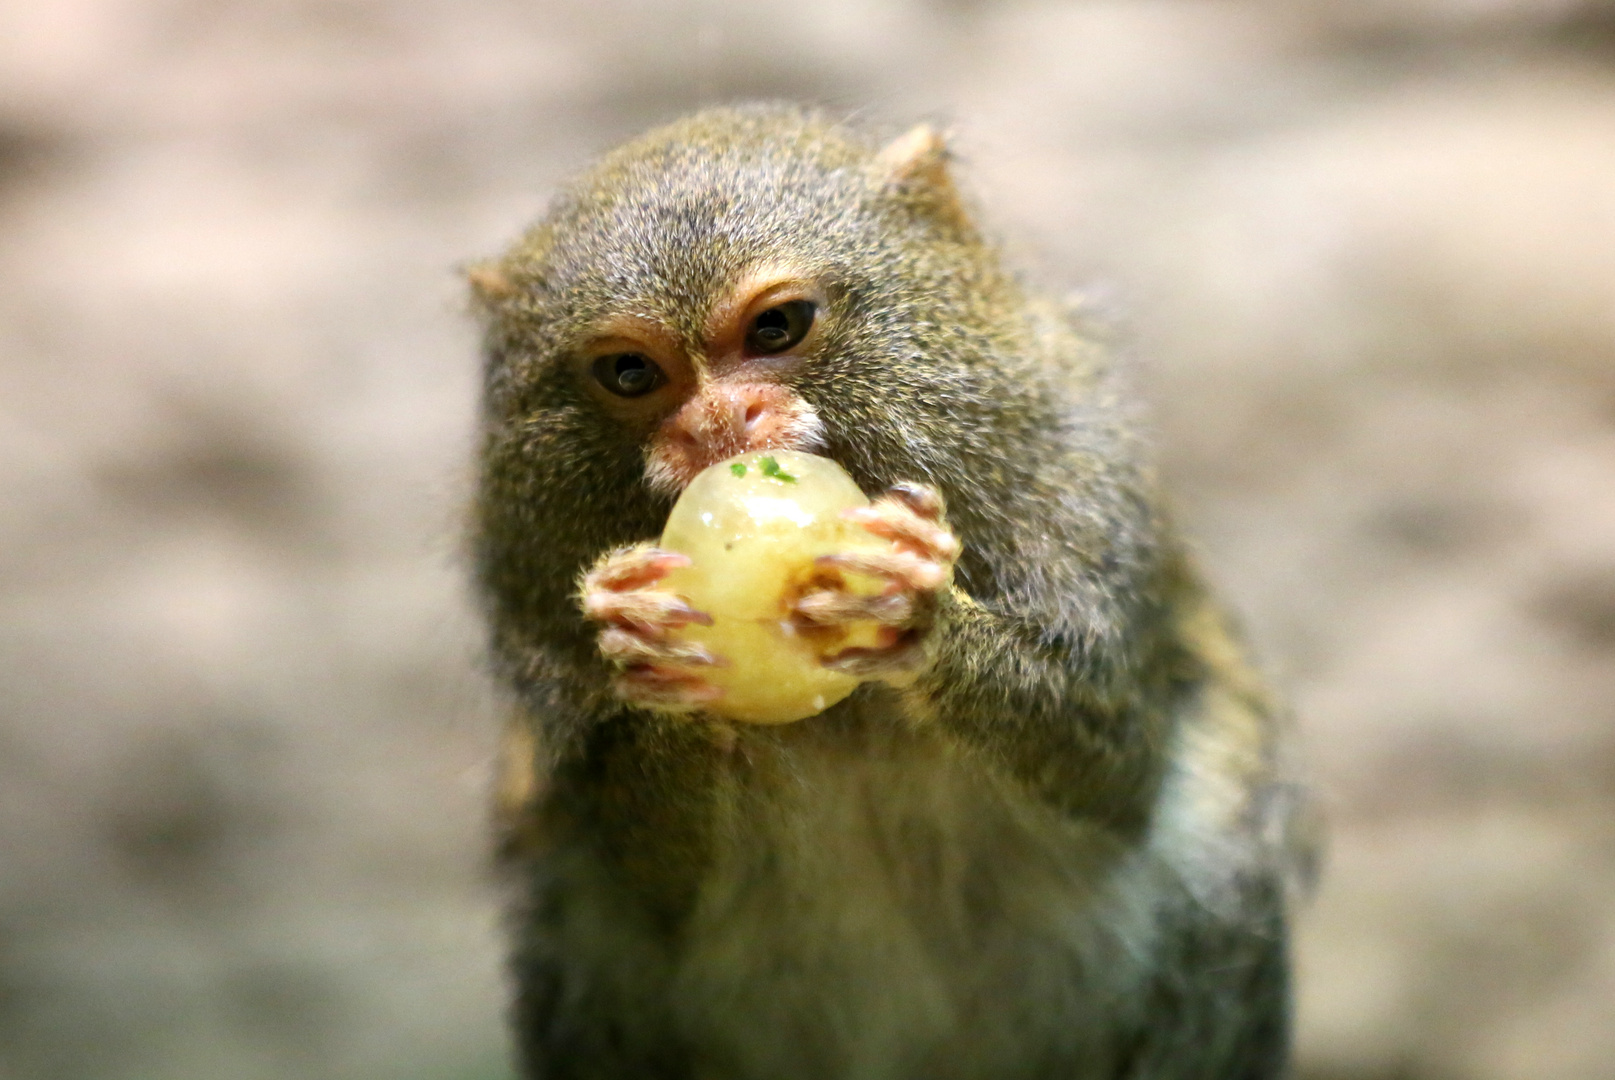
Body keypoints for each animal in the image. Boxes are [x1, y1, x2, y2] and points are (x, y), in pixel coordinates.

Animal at [465, 103, 1311, 1078]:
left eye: (776, 327)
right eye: (632, 373)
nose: (717, 425)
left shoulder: (1077, 470)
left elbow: (1115, 765)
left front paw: (923, 618)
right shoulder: (535, 610)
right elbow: (643, 880)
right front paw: (655, 649)